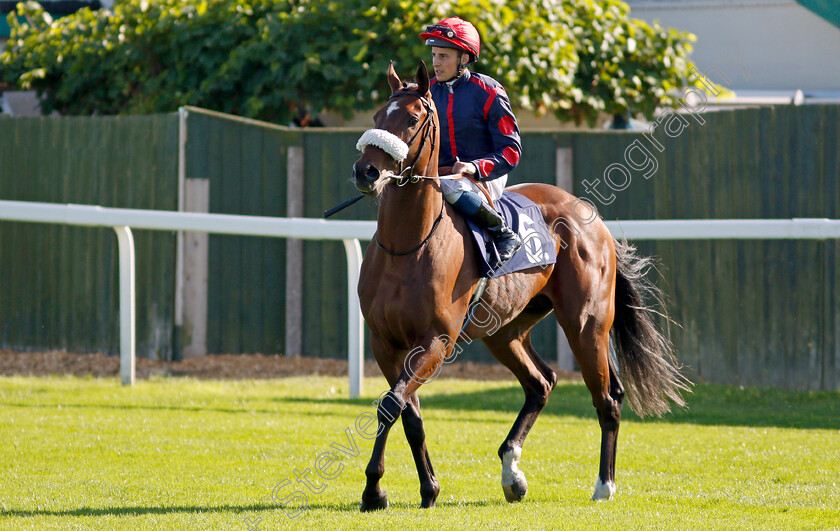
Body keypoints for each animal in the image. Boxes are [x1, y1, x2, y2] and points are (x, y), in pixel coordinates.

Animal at [352, 61, 684, 512]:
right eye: (376, 116)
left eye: (413, 118)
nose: (365, 172)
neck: (406, 246)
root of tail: (590, 215)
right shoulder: (384, 342)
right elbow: (404, 410)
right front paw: (418, 488)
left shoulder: (436, 339)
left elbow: (392, 403)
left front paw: (376, 488)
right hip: (504, 332)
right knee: (540, 383)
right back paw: (512, 472)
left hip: (586, 325)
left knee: (608, 398)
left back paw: (604, 486)